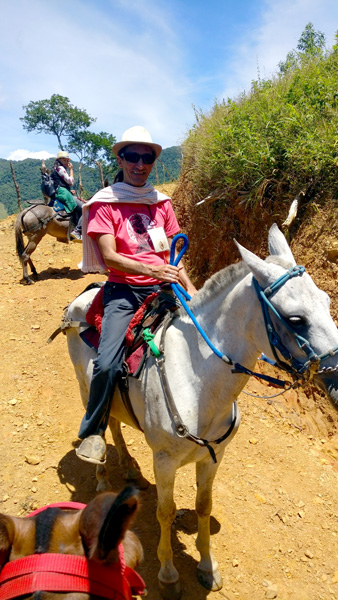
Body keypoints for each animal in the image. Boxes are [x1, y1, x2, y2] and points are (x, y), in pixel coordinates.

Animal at [63, 225, 338, 600]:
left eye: (326, 301)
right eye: (296, 319)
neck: (199, 380)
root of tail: (85, 297)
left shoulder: (212, 457)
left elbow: (204, 506)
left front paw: (208, 568)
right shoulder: (164, 461)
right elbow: (165, 512)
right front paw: (168, 575)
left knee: (117, 423)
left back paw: (129, 468)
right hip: (83, 384)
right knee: (100, 422)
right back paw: (101, 470)